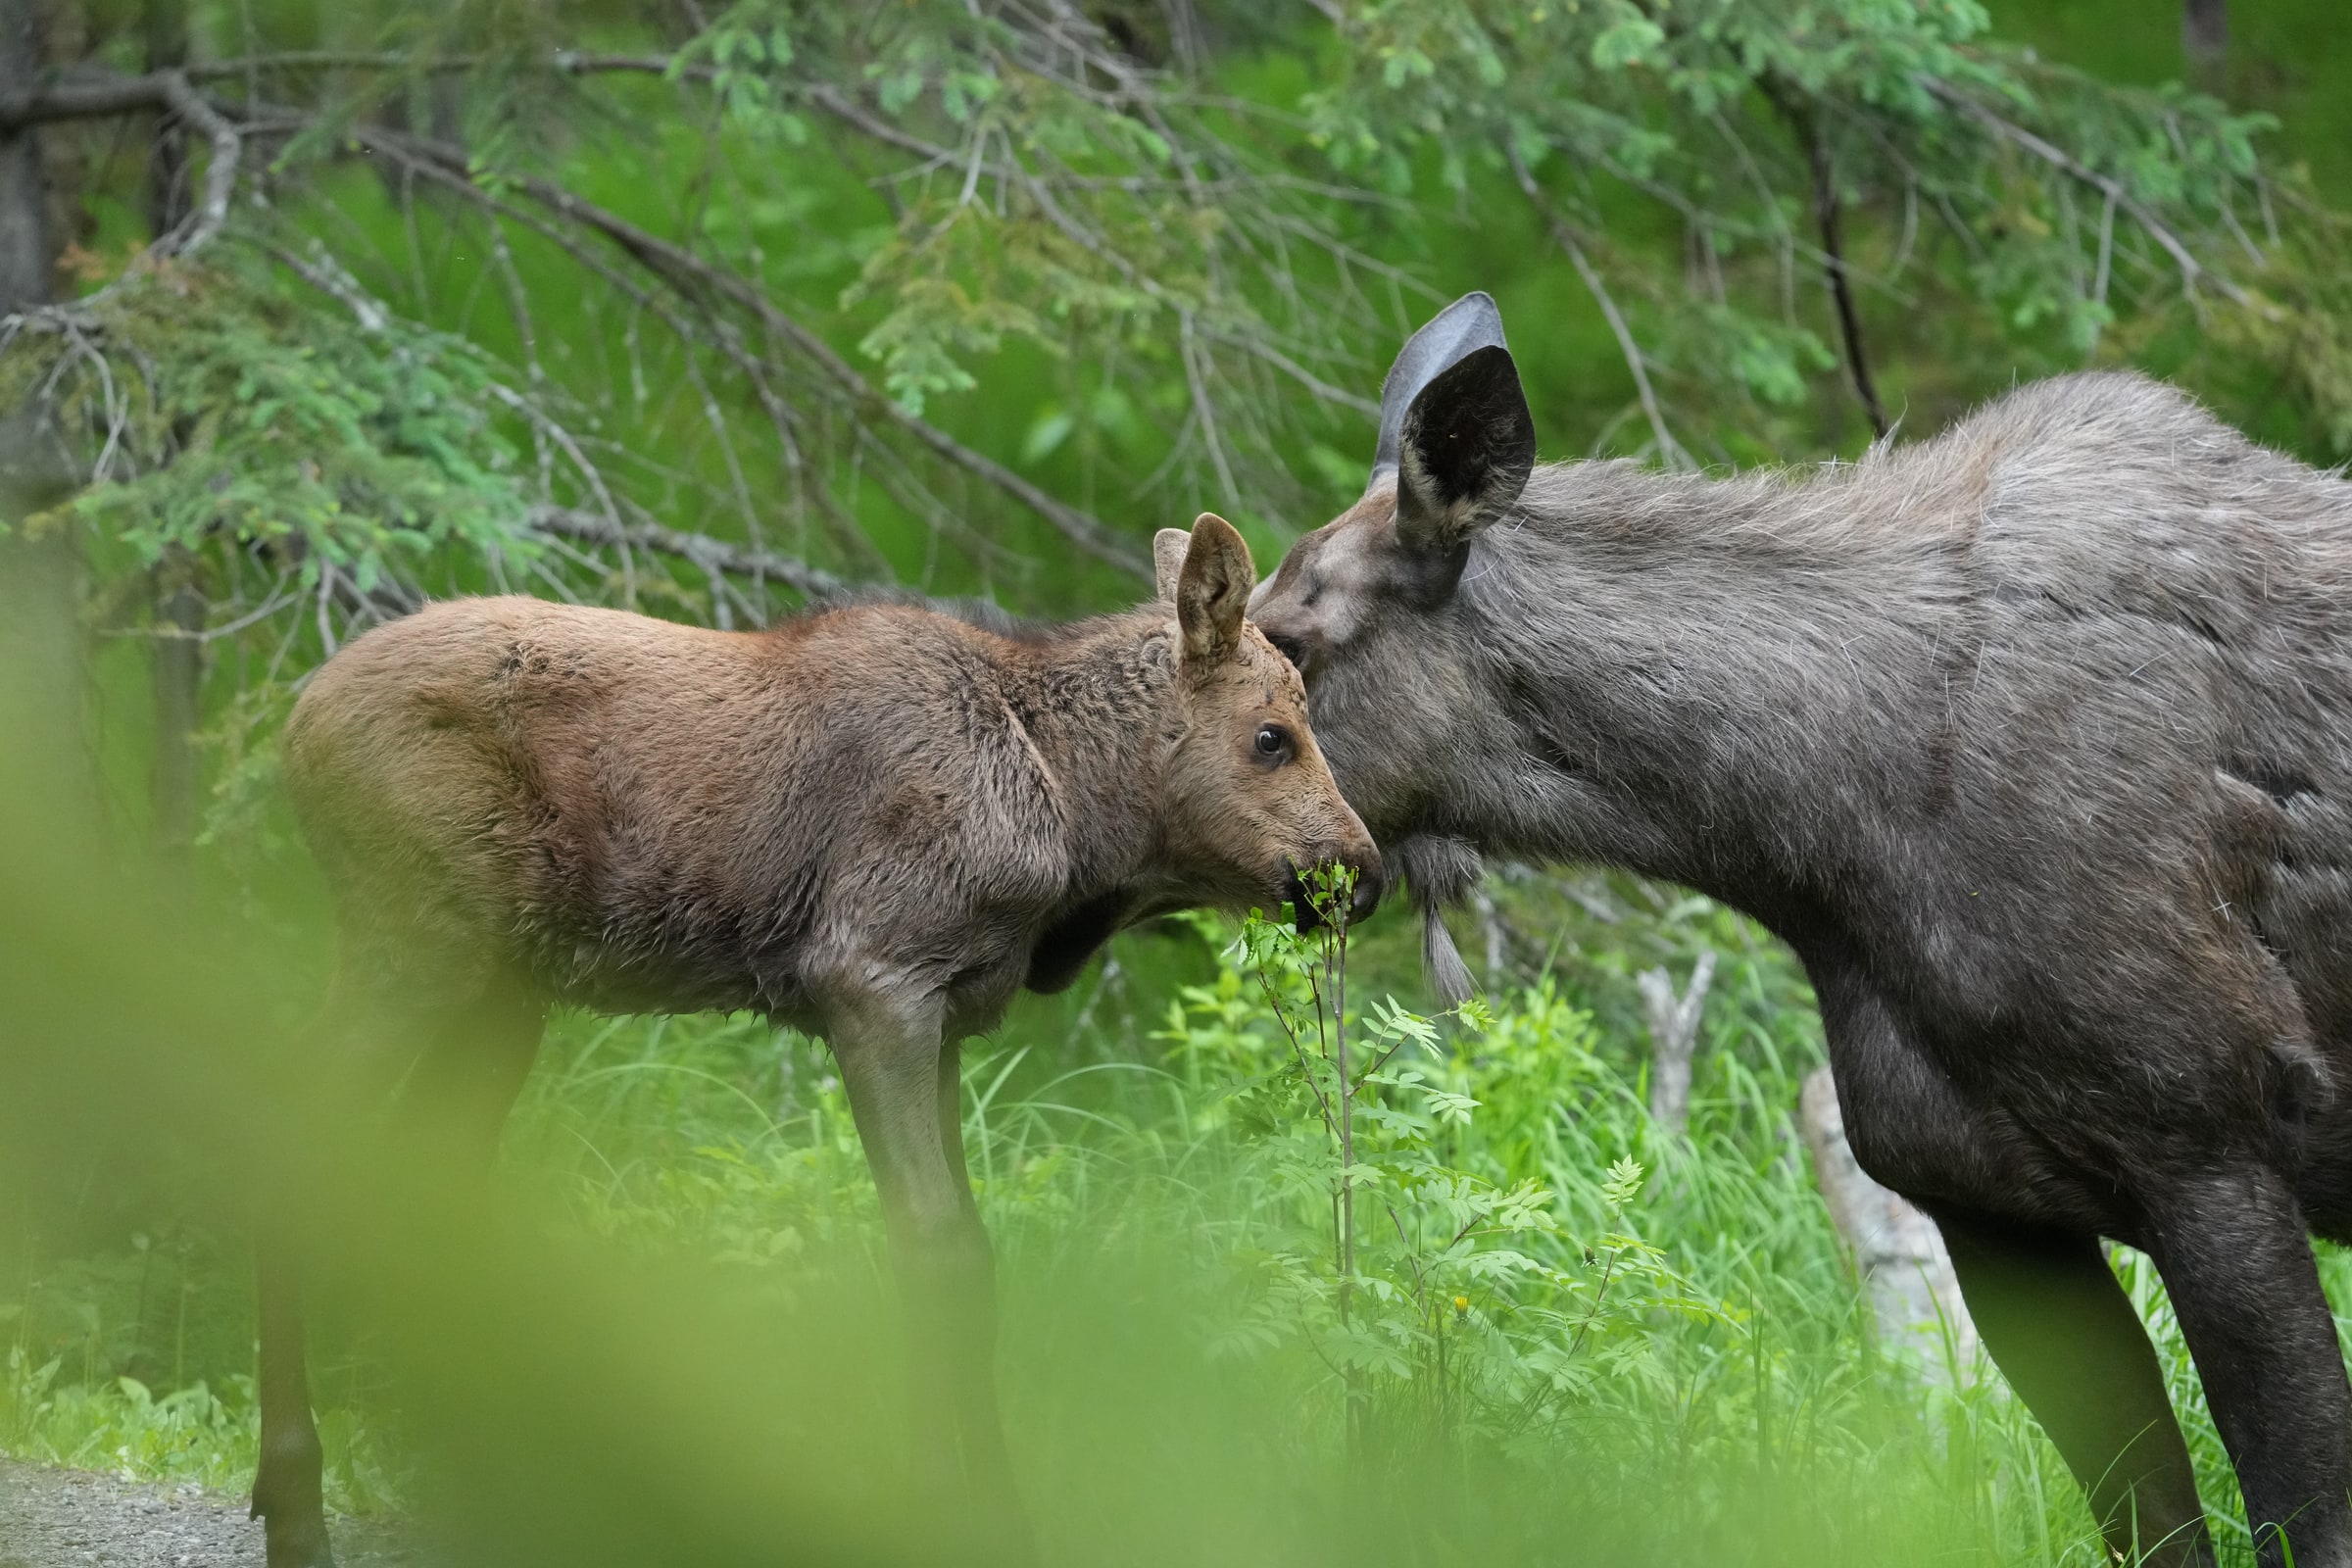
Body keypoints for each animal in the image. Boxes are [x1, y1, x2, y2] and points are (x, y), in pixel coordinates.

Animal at [260, 513, 1381, 1568]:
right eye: (1272, 735)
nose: (1359, 875)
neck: (1070, 815)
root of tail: (294, 726)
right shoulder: (871, 983)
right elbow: (932, 1252)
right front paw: (942, 1509)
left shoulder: (944, 1018)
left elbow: (968, 1254)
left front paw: (1001, 1518)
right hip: (418, 944)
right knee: (290, 1120)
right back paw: (296, 1499)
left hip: (503, 992)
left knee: (431, 1175)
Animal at [1250, 292, 2352, 1568]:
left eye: (1291, 645)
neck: (1828, 838)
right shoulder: (1990, 1212)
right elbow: (2147, 1519)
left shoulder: (2214, 1151)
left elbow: (2299, 1516)